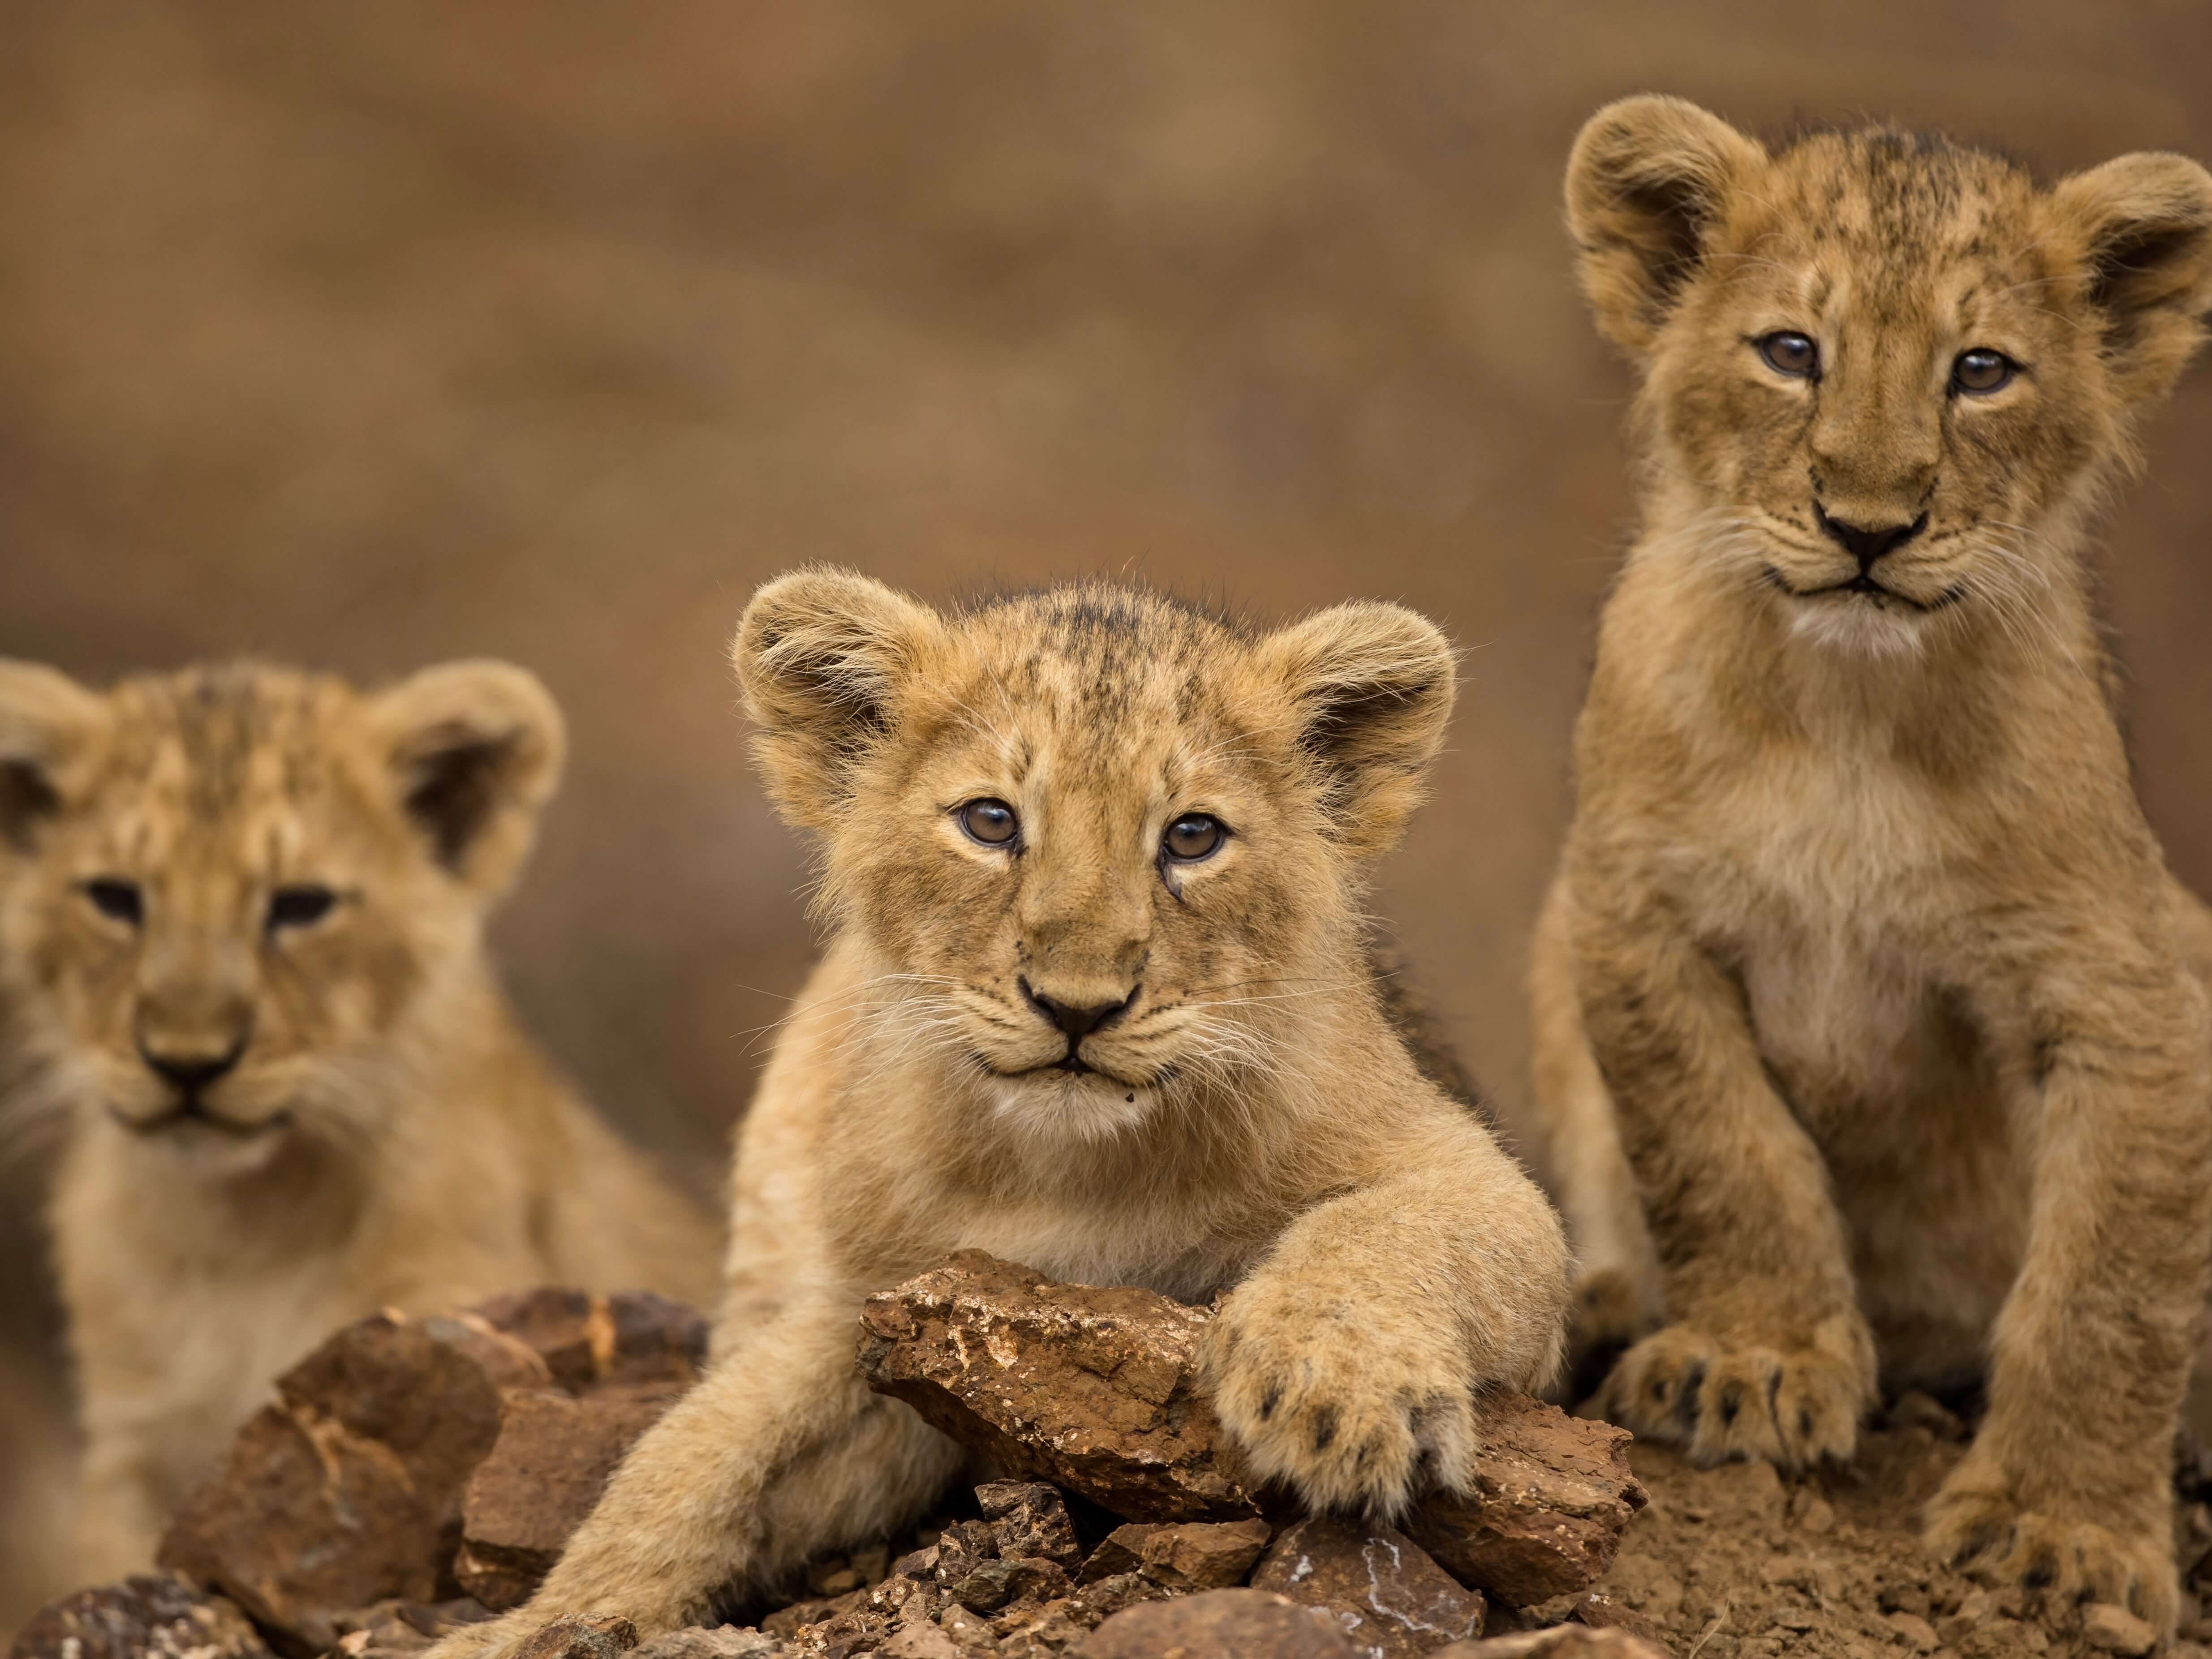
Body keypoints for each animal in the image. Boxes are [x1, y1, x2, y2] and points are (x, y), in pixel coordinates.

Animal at [423, 571, 1571, 1656]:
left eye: (1193, 836)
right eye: (991, 821)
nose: (1078, 1005)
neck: (1070, 1165)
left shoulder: (1475, 1177)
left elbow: (1384, 1226)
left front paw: (1339, 1391)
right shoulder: (878, 1305)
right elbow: (704, 1448)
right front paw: (541, 1620)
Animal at [1532, 95, 2212, 1631]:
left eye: (1980, 372)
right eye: (1791, 350)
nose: (1868, 523)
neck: (1843, 705)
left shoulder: (2130, 994)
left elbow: (2107, 1285)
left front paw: (2059, 1529)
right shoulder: (1623, 917)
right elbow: (1719, 1148)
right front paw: (1751, 1360)